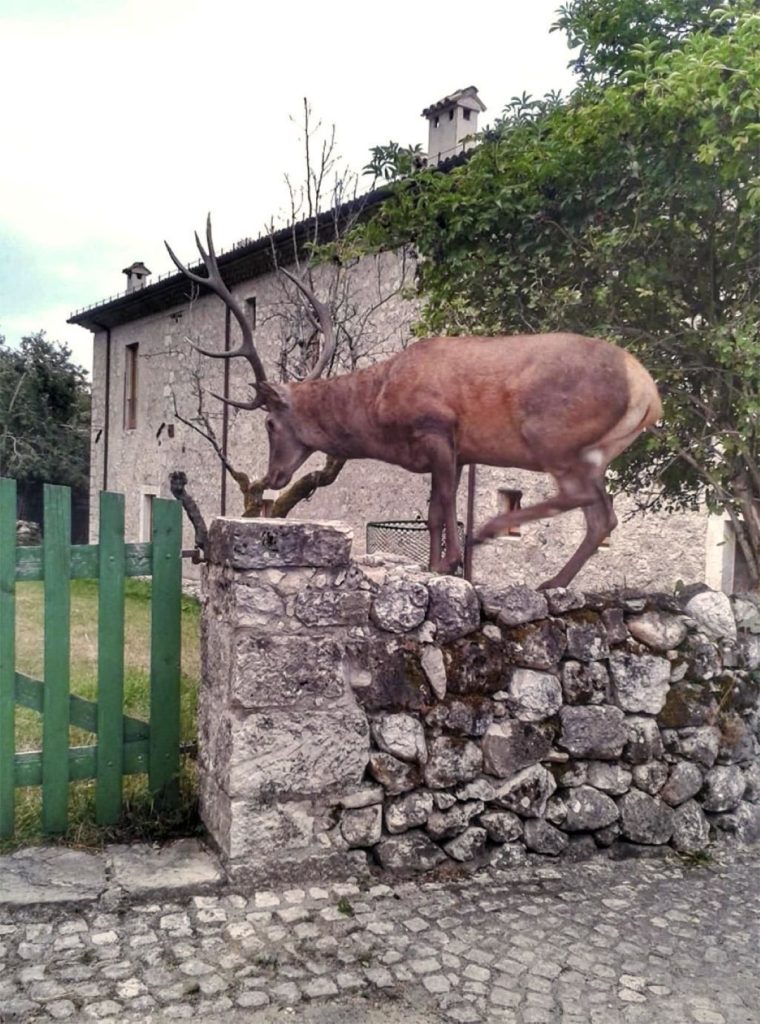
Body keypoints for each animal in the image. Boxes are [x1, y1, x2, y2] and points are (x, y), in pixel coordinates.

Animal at [166, 216, 662, 590]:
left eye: (270, 424)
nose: (272, 477)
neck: (381, 408)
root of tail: (647, 391)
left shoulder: (438, 429)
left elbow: (444, 504)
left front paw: (451, 563)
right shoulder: (459, 452)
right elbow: (434, 512)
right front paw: (437, 563)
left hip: (551, 432)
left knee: (588, 502)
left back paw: (494, 535)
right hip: (594, 451)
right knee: (602, 516)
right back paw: (553, 581)